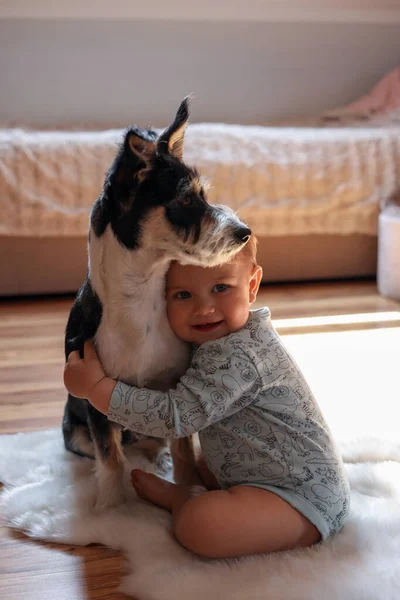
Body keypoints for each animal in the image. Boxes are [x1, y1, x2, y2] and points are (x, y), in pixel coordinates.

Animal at [62, 98, 250, 510]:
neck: (142, 296)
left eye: (203, 195)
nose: (245, 232)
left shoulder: (175, 389)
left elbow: (183, 449)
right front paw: (111, 511)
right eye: (186, 199)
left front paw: (183, 486)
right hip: (73, 429)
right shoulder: (96, 402)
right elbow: (110, 459)